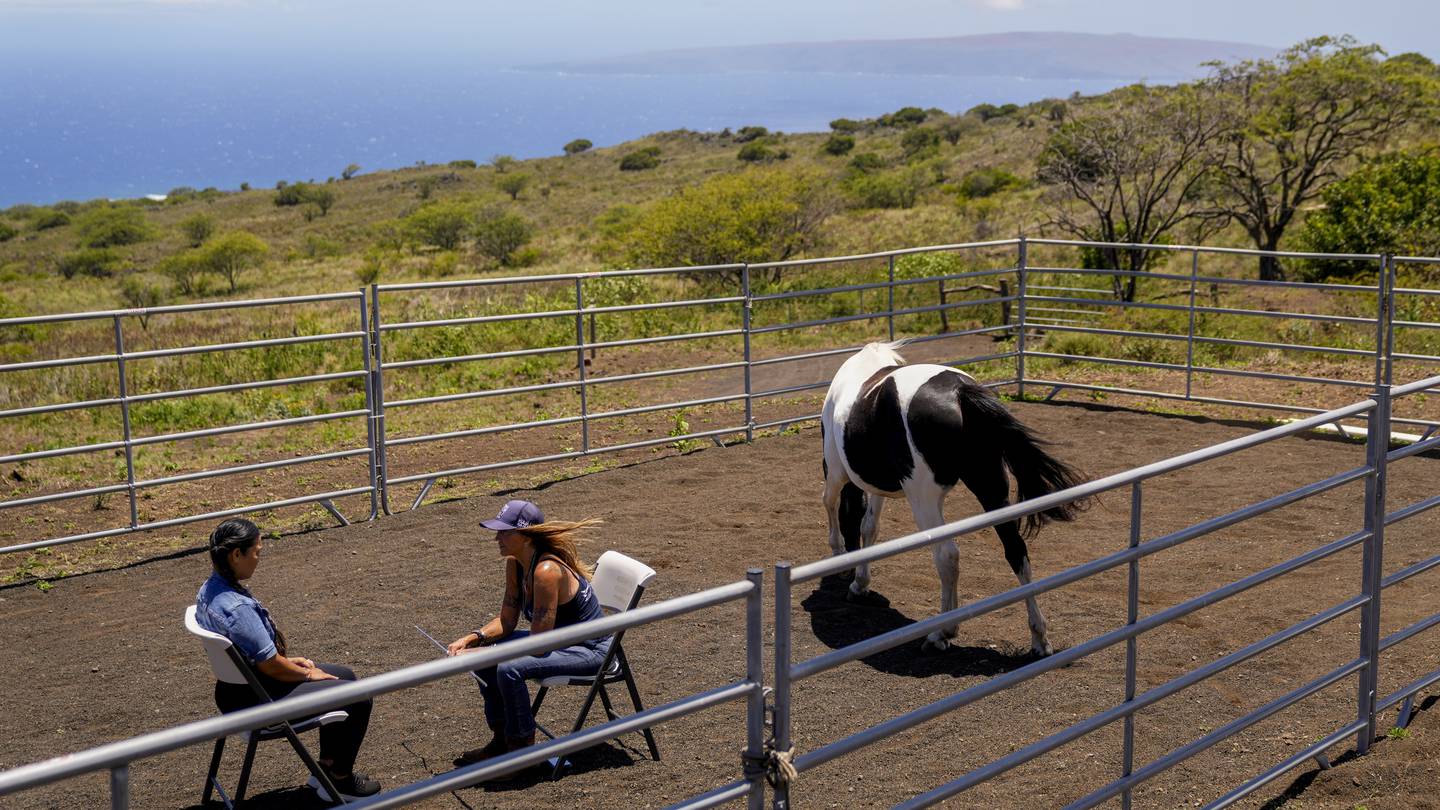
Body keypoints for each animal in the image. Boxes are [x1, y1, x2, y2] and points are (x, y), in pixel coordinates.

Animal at [817, 338, 1082, 648]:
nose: (846, 570)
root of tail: (959, 392)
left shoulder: (837, 471)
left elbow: (832, 505)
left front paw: (840, 559)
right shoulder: (875, 485)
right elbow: (869, 527)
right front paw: (859, 583)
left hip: (924, 500)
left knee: (947, 556)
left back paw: (942, 631)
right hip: (992, 490)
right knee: (1016, 551)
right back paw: (1038, 636)